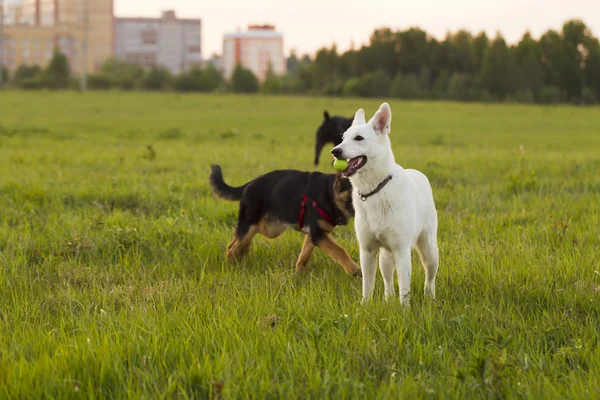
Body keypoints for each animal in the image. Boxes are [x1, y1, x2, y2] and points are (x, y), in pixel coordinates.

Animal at [210, 164, 360, 276]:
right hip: (251, 224)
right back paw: (230, 269)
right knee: (232, 248)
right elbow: (340, 250)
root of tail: (250, 183)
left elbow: (304, 257)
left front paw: (298, 276)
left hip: (269, 229)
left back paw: (240, 261)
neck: (330, 193)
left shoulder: (316, 234)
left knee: (240, 243)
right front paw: (355, 270)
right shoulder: (318, 235)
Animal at [330, 103, 438, 306]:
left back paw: (430, 298)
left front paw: (404, 311)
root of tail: (419, 173)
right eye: (343, 138)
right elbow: (367, 286)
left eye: (359, 138)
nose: (335, 151)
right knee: (388, 280)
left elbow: (404, 289)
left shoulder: (402, 251)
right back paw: (388, 300)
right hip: (385, 257)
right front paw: (365, 307)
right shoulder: (367, 250)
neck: (376, 189)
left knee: (430, 278)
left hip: (429, 251)